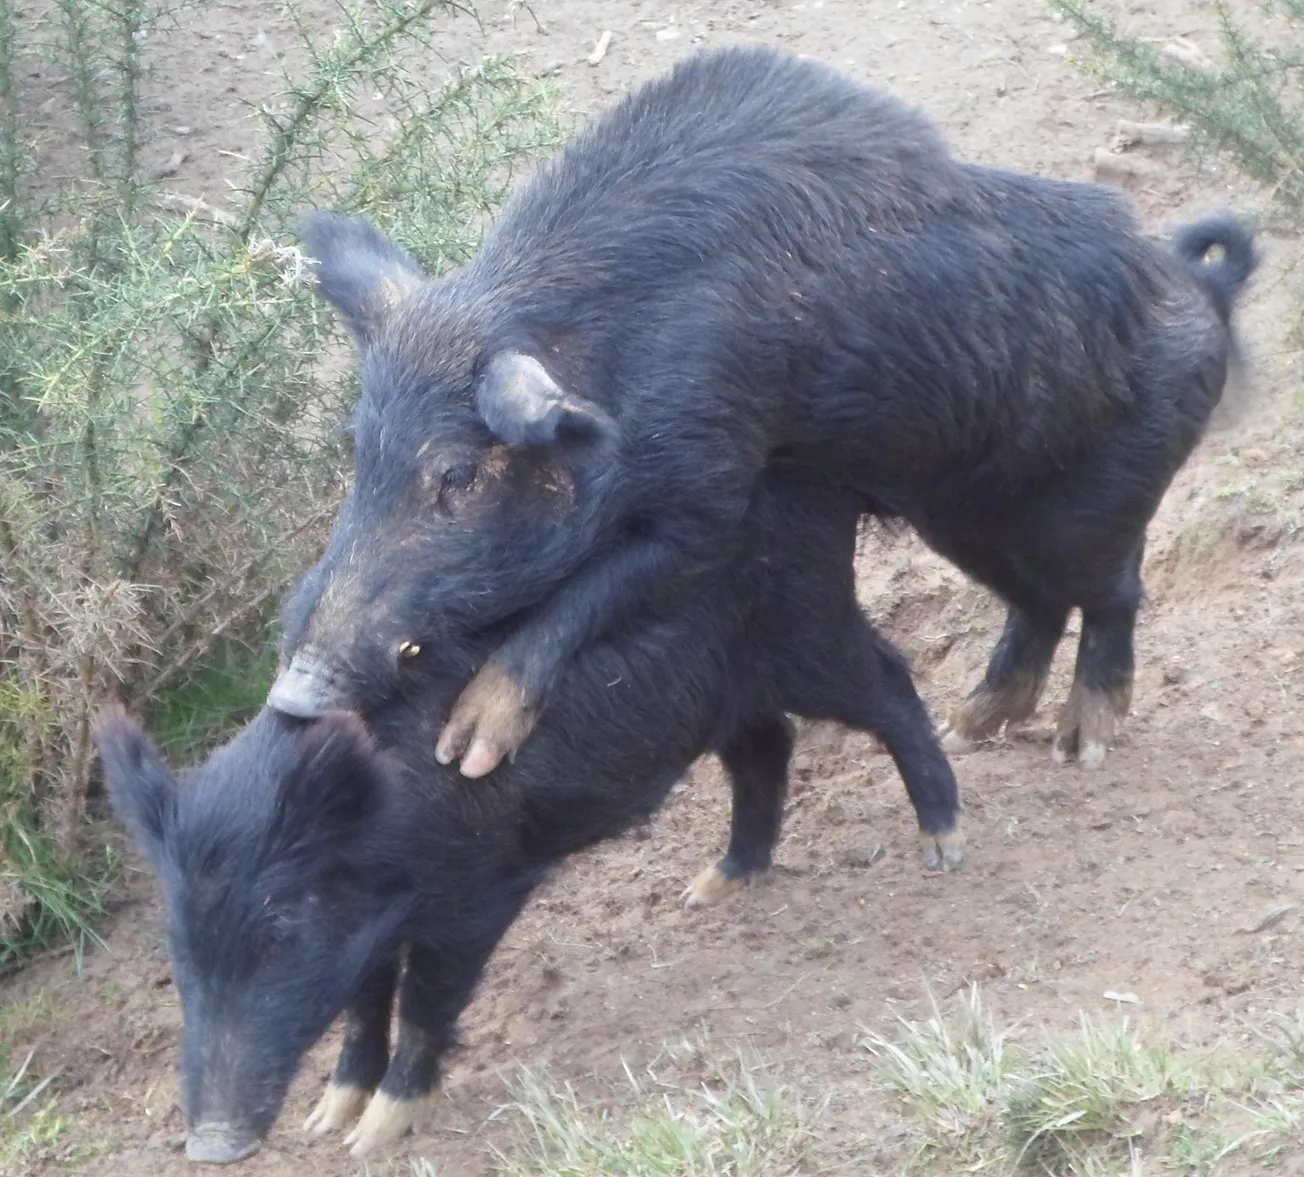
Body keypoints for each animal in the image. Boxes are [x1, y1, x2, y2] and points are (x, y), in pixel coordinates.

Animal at [97, 474, 961, 1163]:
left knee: (889, 683)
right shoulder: (372, 921)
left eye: (281, 931)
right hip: (722, 694)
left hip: (809, 629)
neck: (390, 832)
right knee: (767, 745)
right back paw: (710, 888)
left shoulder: (478, 887)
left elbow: (425, 1003)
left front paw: (374, 1136)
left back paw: (942, 845)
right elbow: (362, 1004)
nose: (213, 1147)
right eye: (179, 947)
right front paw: (326, 1122)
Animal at [267, 44, 1257, 777]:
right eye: (358, 454)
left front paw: (467, 750)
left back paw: (1083, 746)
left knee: (1115, 590)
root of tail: (1201, 286)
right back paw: (974, 722)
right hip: (963, 513)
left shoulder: (716, 480)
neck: (612, 358)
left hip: (1095, 500)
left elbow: (598, 588)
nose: (292, 695)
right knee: (1039, 602)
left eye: (458, 475)